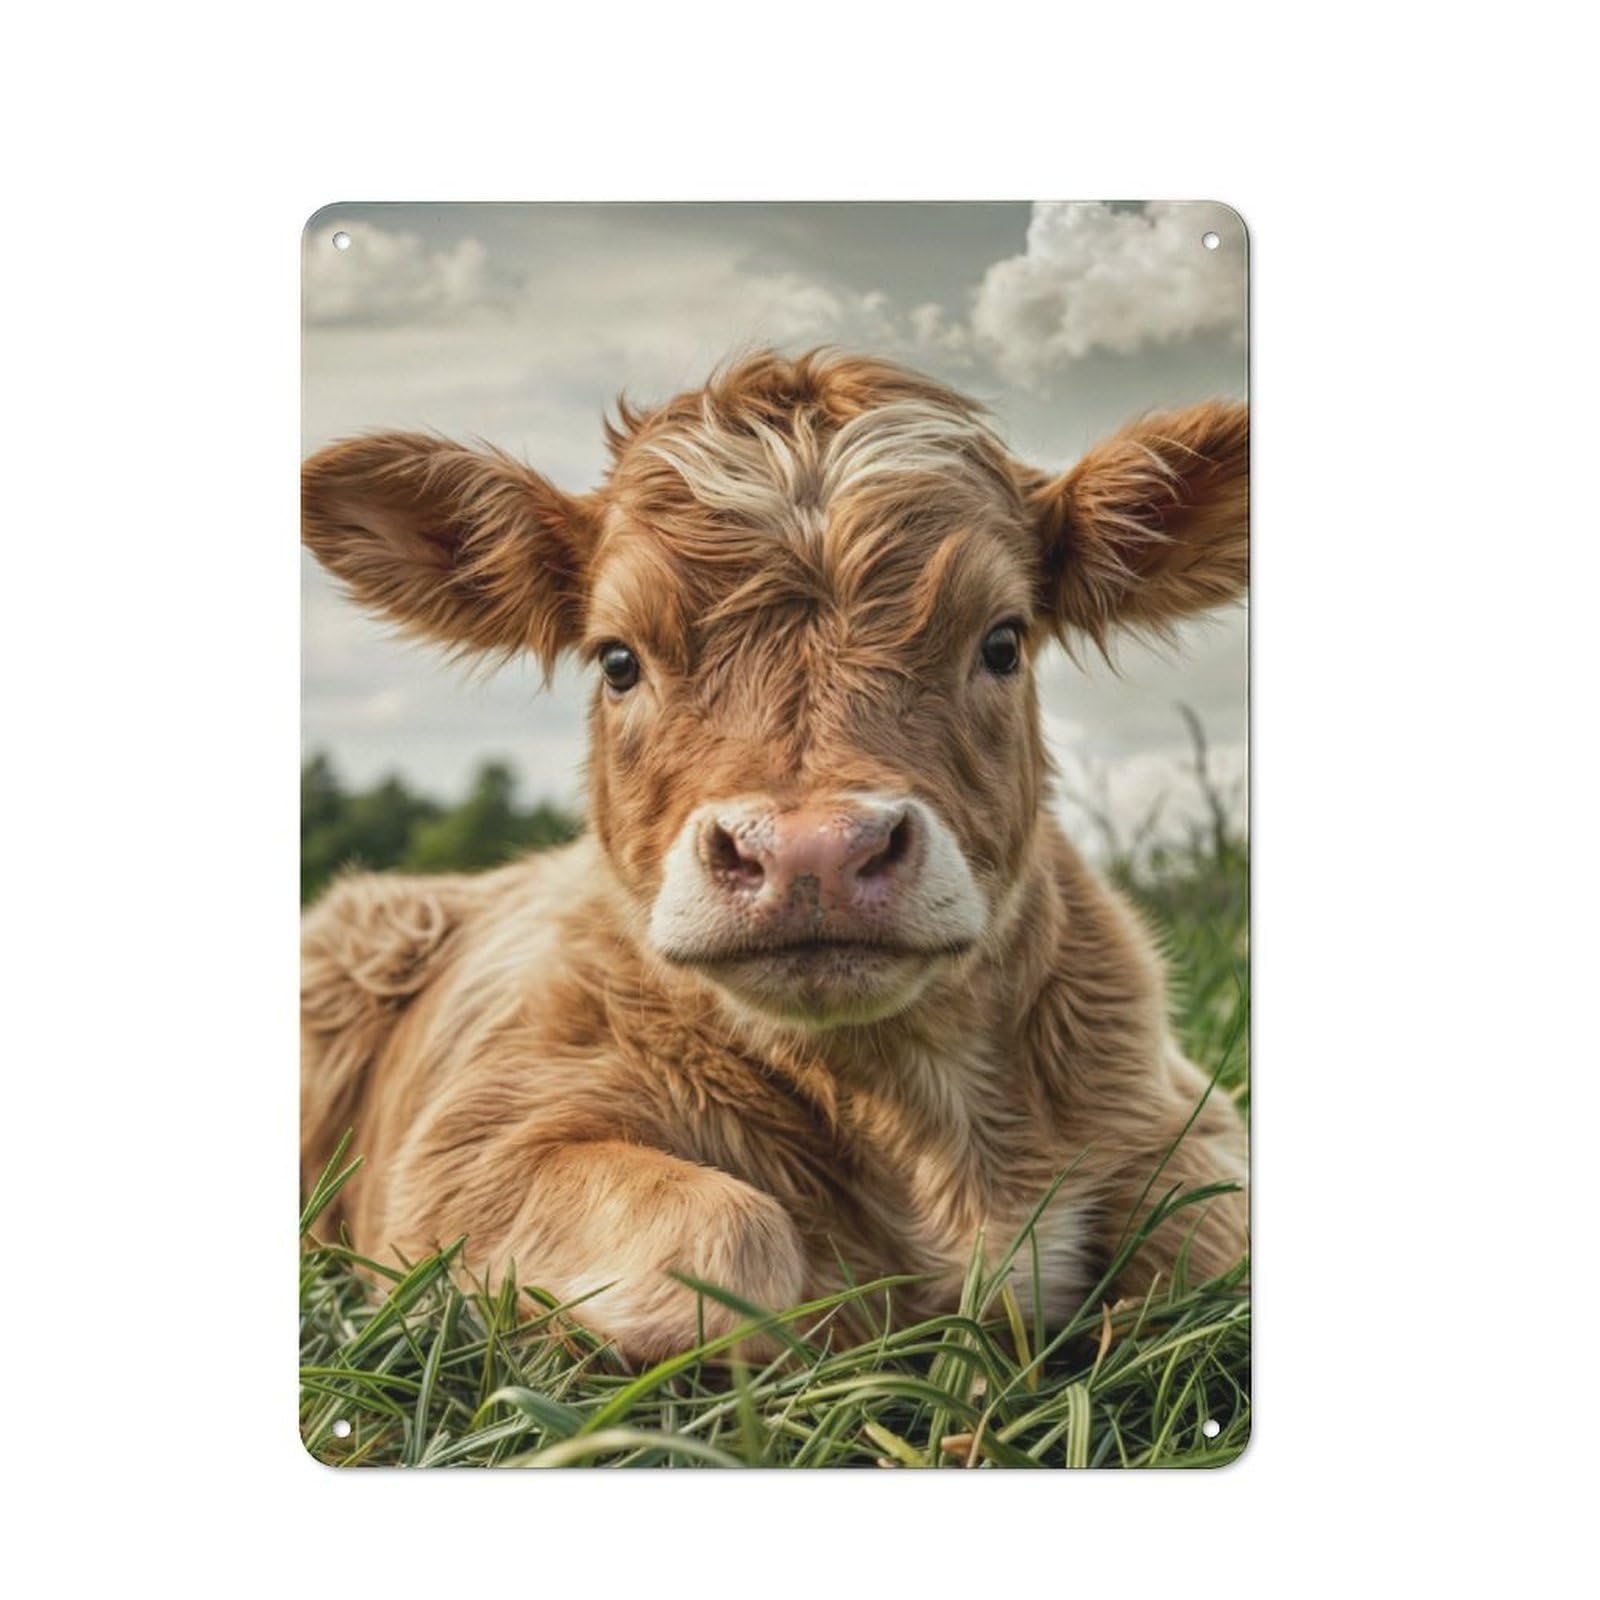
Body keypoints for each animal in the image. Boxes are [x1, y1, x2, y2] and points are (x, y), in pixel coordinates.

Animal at [301, 349, 1249, 1362]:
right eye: (618, 660)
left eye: (1002, 642)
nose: (812, 856)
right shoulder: (461, 1156)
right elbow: (733, 1235)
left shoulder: (1183, 1114)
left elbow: (1213, 1240)